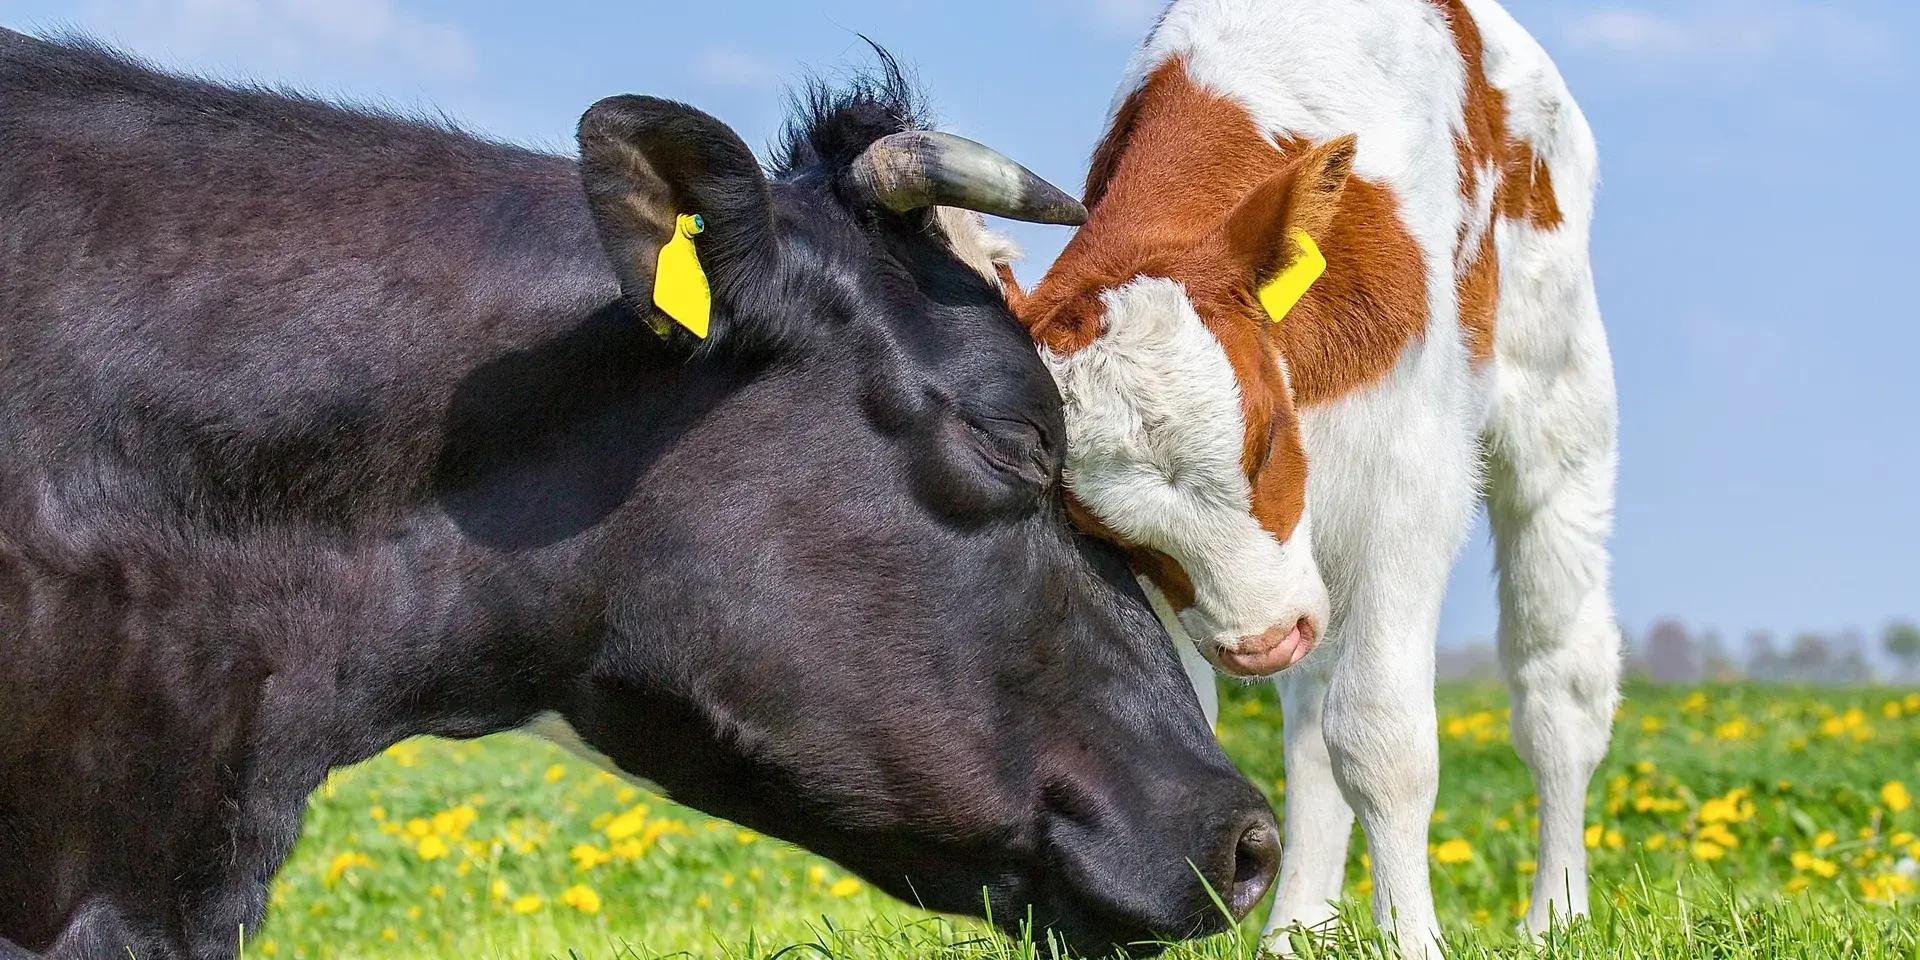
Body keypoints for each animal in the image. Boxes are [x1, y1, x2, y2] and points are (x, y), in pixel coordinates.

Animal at [1013, 0, 1628, 952]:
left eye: (1265, 439)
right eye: (1103, 526)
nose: (1261, 642)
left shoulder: (1407, 493)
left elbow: (1382, 740)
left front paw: (1412, 939)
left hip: (1557, 400)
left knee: (1558, 686)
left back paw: (1553, 917)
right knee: (1309, 714)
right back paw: (1297, 926)